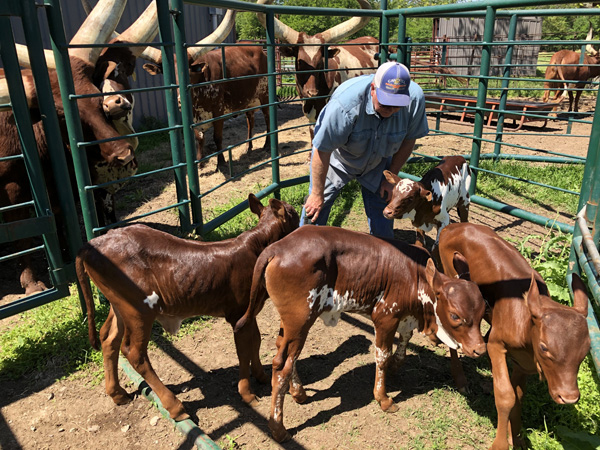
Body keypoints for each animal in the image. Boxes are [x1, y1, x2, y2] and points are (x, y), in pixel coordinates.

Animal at [76, 194, 298, 422]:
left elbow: (256, 341)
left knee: (108, 338)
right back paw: (175, 406)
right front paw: (247, 394)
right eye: (295, 215)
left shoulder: (249, 312)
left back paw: (118, 394)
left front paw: (261, 376)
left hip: (119, 305)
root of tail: (93, 243)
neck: (257, 247)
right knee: (134, 352)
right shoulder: (238, 314)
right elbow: (243, 350)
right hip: (138, 310)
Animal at [234, 227, 488, 442]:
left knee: (285, 351)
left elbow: (404, 341)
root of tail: (276, 248)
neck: (416, 277)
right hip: (300, 320)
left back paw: (299, 393)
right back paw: (278, 428)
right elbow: (382, 356)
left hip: (291, 323)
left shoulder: (405, 317)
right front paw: (383, 398)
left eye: (483, 309)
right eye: (455, 315)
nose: (480, 349)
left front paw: (397, 364)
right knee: (281, 365)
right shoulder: (385, 318)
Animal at [436, 223, 592, 448]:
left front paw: (517, 437)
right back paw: (460, 379)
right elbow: (506, 396)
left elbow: (519, 396)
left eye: (586, 349)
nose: (569, 397)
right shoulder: (496, 346)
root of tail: (454, 226)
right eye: (544, 347)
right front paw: (500, 443)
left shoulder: (522, 362)